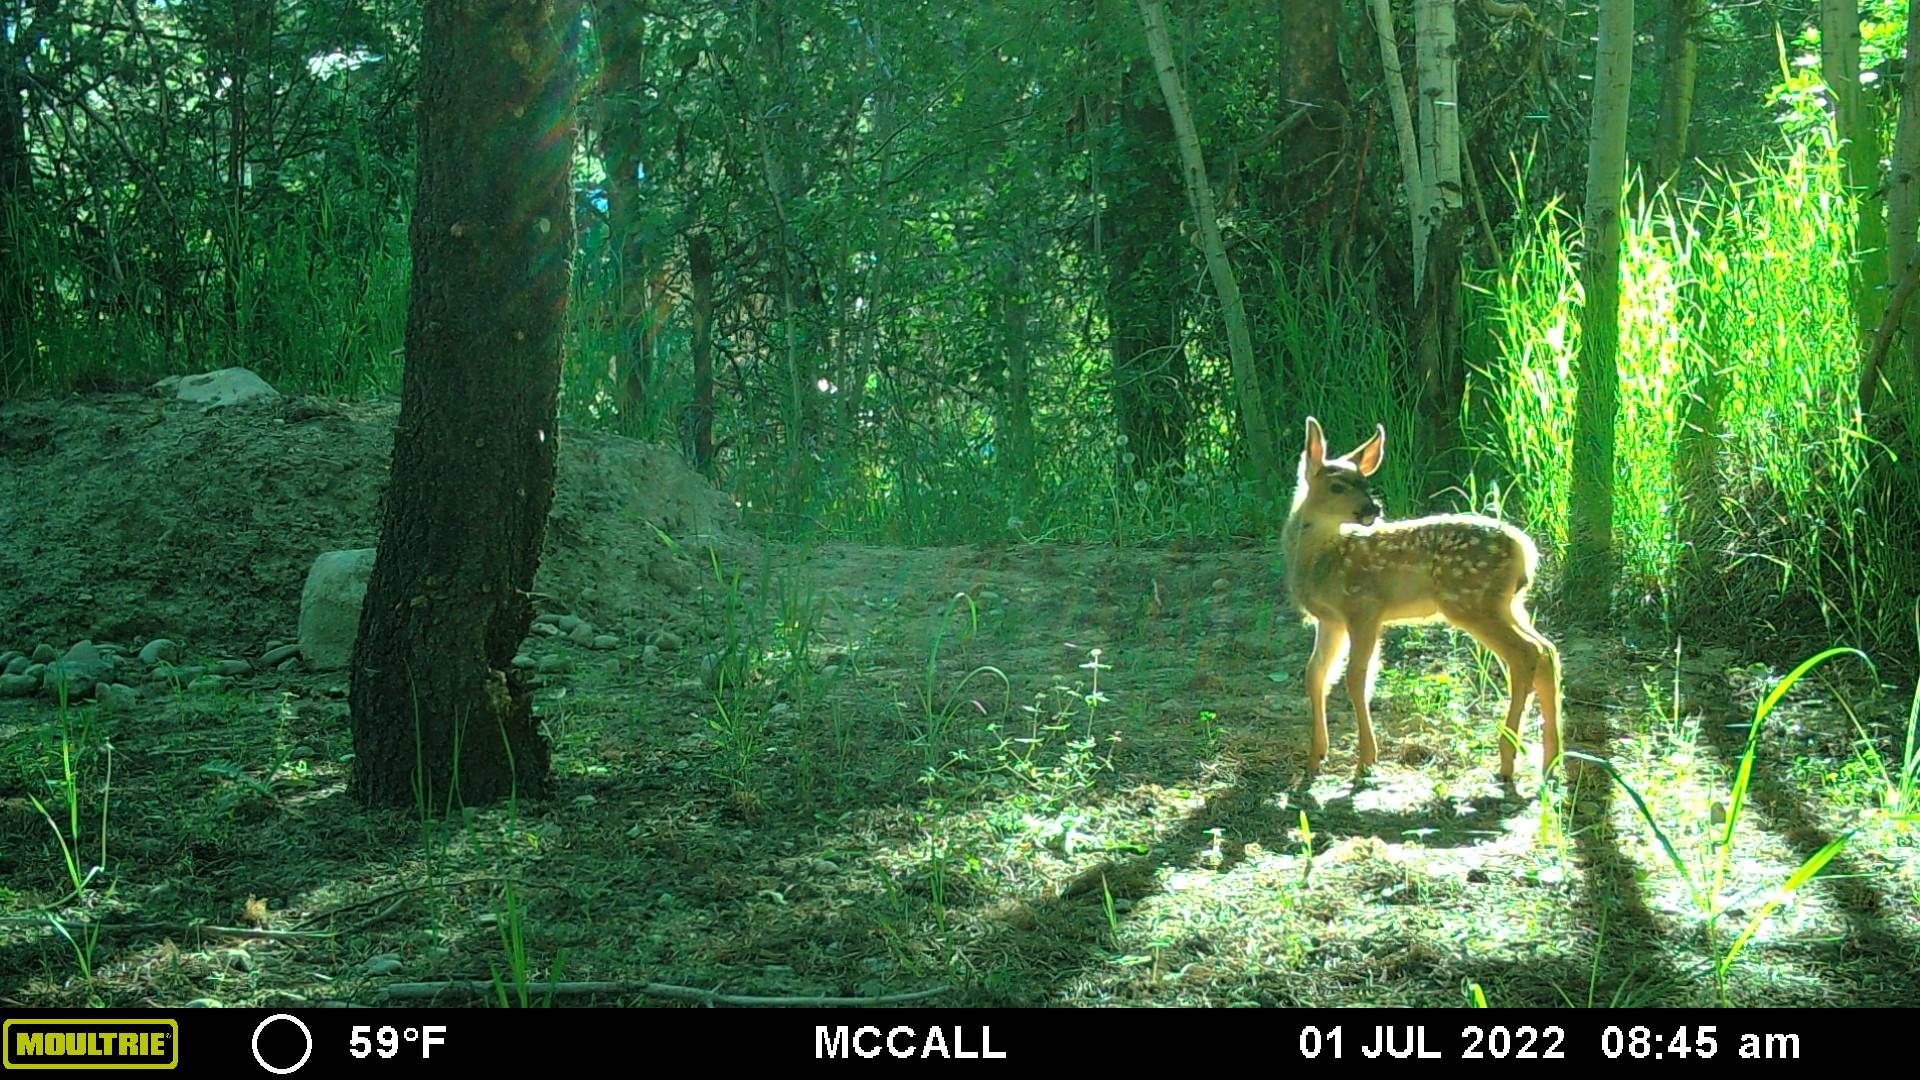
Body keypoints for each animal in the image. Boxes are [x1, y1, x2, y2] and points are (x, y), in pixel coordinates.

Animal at [1281, 416, 1561, 781]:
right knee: (1547, 651)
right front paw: (1315, 758)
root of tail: (1525, 551)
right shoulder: (1331, 619)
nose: (1373, 508)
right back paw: (1551, 761)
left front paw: (1366, 760)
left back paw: (1508, 760)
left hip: (1471, 602)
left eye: (1364, 482)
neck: (1319, 558)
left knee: (1527, 653)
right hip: (1508, 604)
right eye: (1337, 486)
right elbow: (1315, 675)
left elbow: (1358, 678)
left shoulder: (1364, 607)